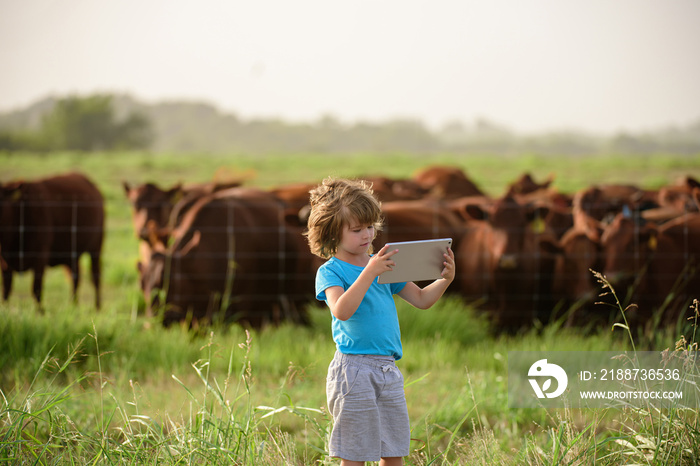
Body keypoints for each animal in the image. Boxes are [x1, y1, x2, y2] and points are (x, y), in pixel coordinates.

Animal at [0, 173, 104, 308]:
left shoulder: (40, 256)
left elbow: (37, 290)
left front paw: (40, 312)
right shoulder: (4, 262)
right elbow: (6, 291)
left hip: (96, 248)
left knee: (95, 276)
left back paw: (97, 307)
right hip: (71, 254)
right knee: (75, 277)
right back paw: (73, 305)